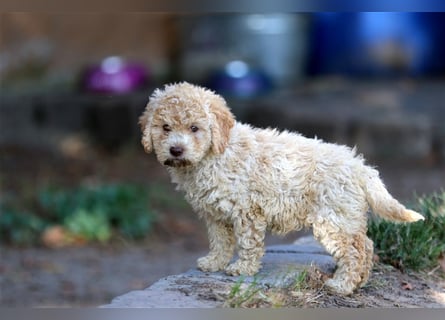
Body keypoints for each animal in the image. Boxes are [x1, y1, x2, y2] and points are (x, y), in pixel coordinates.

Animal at [140, 82, 424, 296]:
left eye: (194, 128)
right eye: (165, 127)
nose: (176, 150)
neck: (216, 154)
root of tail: (359, 165)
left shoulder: (246, 211)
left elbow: (248, 243)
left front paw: (242, 269)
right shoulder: (214, 213)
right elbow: (220, 241)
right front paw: (214, 262)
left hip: (333, 219)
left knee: (356, 250)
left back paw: (342, 285)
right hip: (345, 216)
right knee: (366, 245)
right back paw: (359, 282)